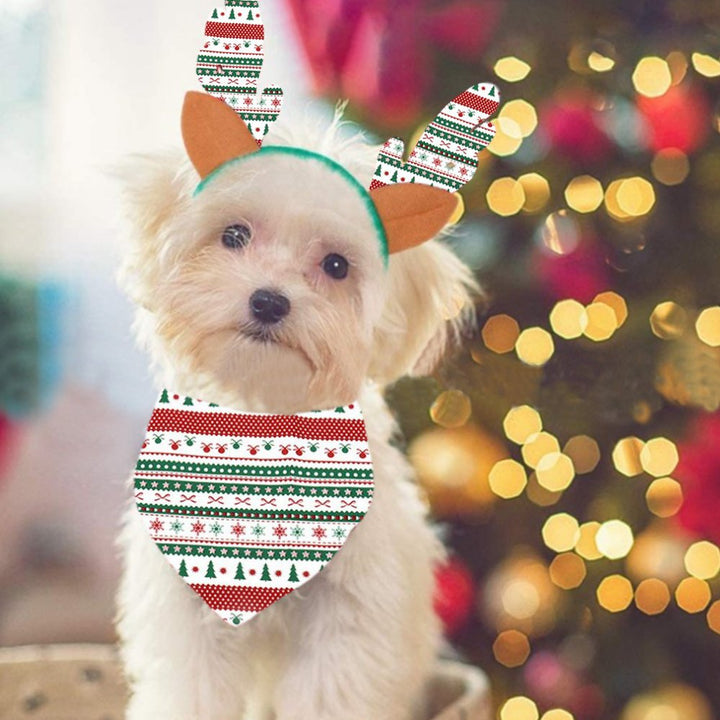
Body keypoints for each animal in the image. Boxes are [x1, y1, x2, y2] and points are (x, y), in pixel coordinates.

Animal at [116, 87, 484, 716]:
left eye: (336, 266)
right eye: (233, 235)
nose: (269, 301)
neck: (264, 423)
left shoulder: (350, 613)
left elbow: (329, 691)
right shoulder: (186, 606)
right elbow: (192, 689)